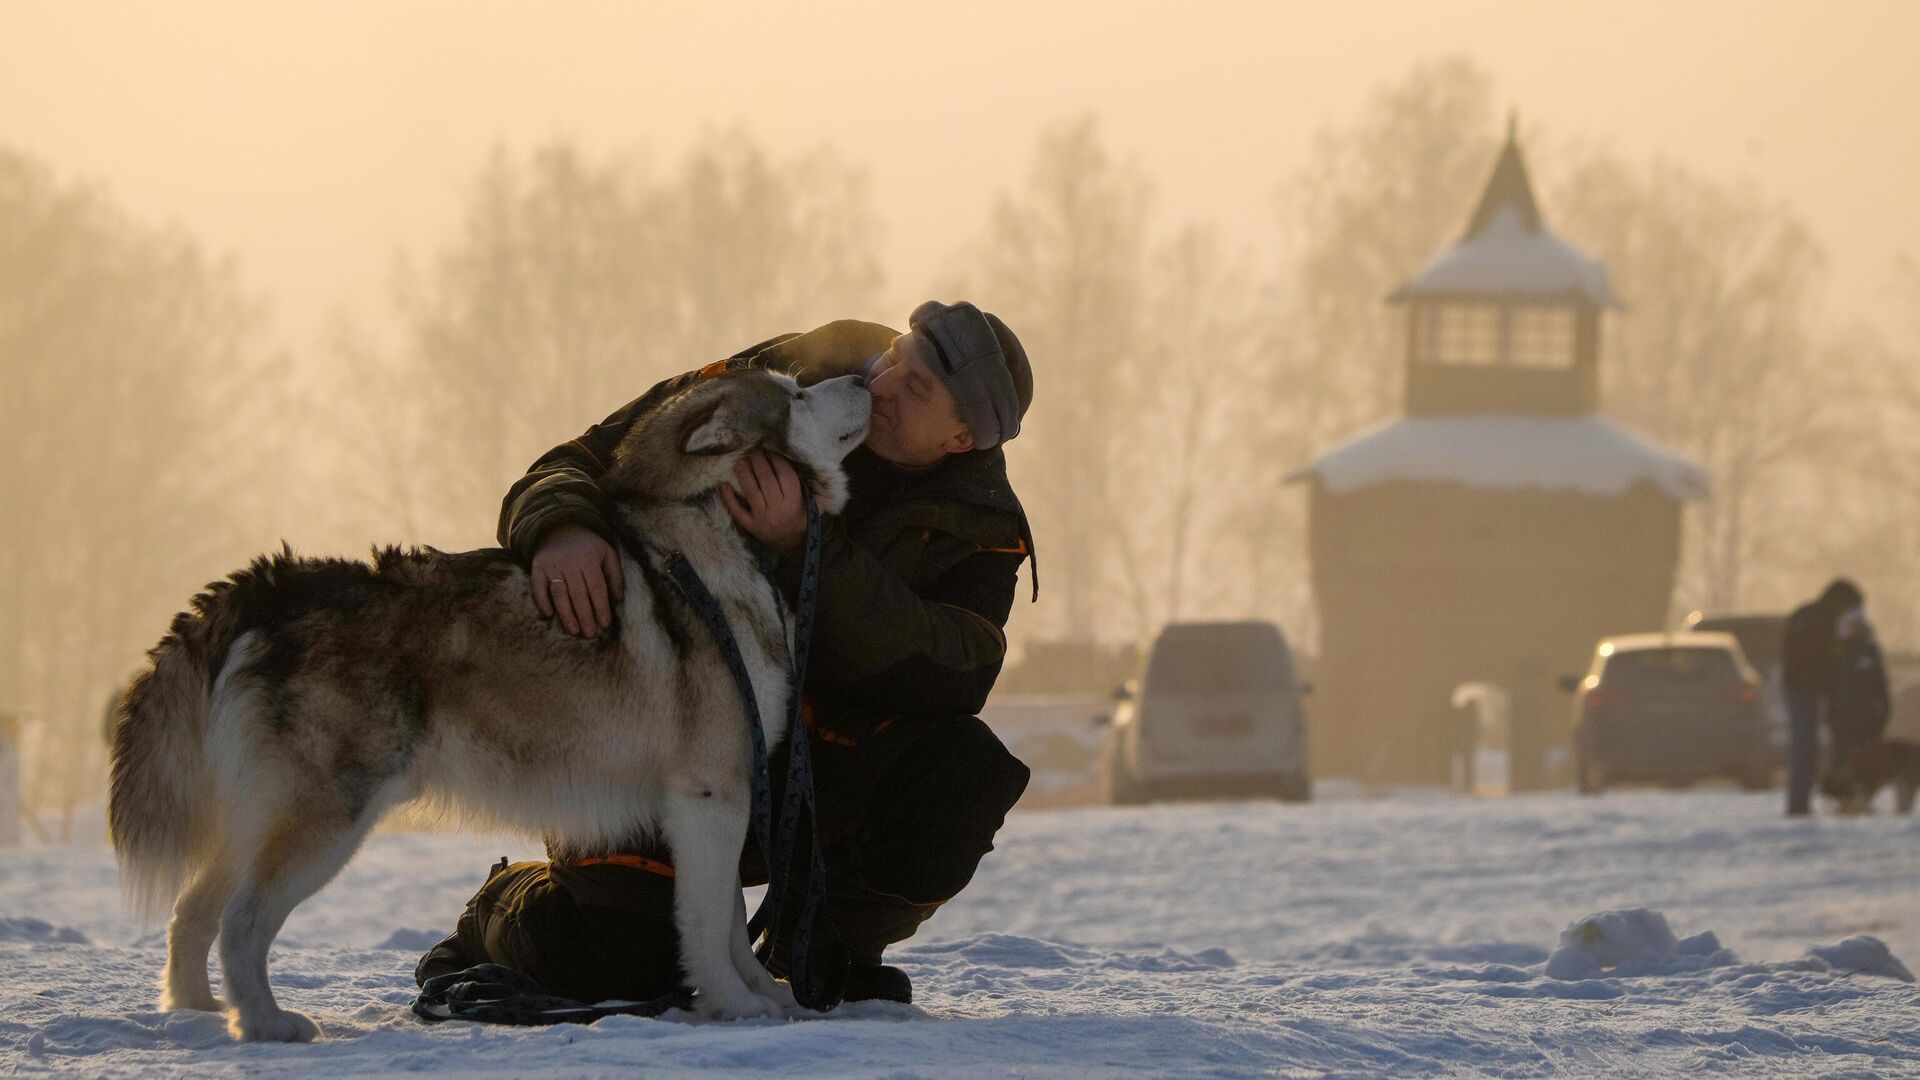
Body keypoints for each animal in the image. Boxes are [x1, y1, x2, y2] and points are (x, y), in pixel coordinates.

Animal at [108, 367, 875, 1037]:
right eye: (796, 395)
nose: (866, 374)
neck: (721, 536)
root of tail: (269, 586)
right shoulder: (711, 793)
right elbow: (712, 923)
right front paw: (735, 1008)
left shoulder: (725, 797)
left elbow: (735, 928)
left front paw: (770, 995)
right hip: (327, 819)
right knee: (238, 922)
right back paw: (266, 1024)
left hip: (257, 816)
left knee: (191, 911)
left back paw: (197, 1011)